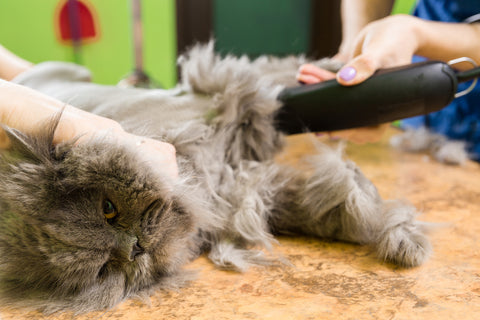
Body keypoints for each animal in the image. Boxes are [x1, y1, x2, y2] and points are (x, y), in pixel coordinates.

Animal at [0, 42, 432, 312]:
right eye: (105, 268)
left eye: (107, 208)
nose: (133, 248)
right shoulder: (255, 196)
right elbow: (332, 208)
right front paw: (403, 239)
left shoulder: (232, 97)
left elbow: (281, 74)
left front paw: (405, 240)